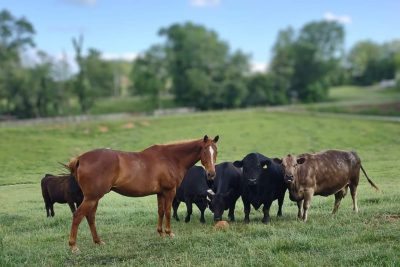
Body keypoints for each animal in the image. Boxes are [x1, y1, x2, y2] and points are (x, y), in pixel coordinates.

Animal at [66, 136, 219, 253]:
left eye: (215, 151)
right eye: (204, 151)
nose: (211, 174)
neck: (170, 158)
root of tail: (81, 158)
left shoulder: (160, 193)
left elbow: (160, 211)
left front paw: (160, 233)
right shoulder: (169, 192)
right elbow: (168, 212)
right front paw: (169, 232)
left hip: (94, 198)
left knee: (90, 217)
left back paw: (98, 241)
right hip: (92, 198)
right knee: (78, 215)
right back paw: (73, 246)